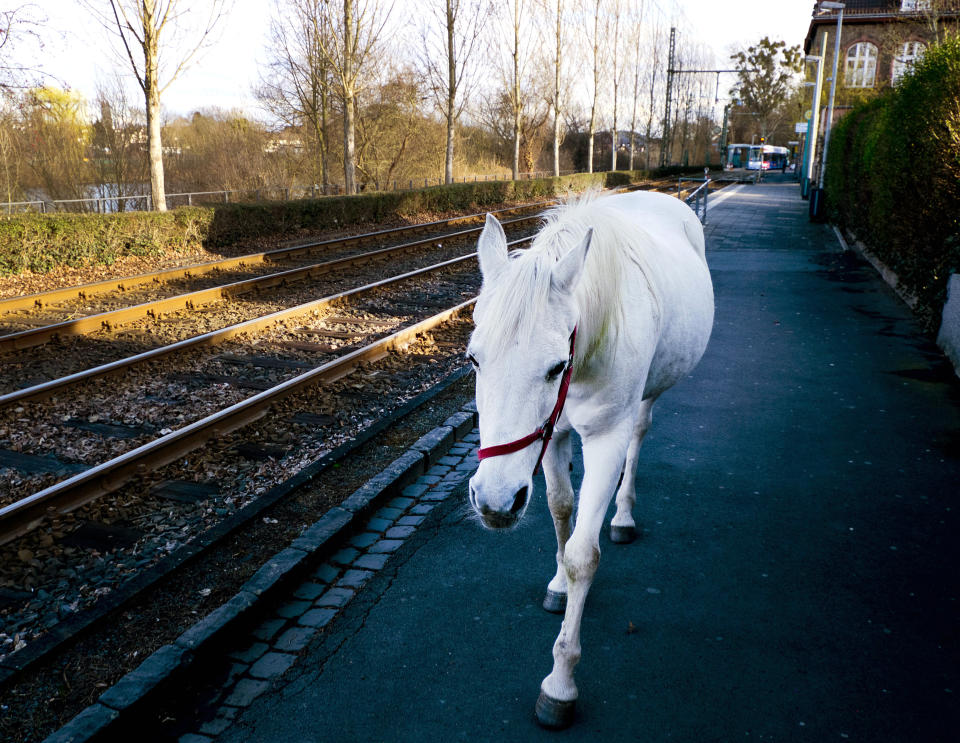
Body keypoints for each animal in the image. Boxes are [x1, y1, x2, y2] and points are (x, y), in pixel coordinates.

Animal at [464, 189, 712, 728]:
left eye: (557, 366)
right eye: (473, 359)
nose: (494, 501)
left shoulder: (604, 438)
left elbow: (584, 554)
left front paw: (560, 685)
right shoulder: (551, 435)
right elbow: (560, 510)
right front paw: (558, 584)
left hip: (647, 397)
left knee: (638, 437)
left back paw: (622, 515)